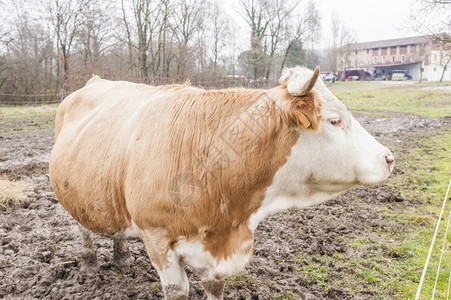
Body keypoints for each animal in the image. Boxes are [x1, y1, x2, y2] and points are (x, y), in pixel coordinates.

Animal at [50, 67, 396, 298]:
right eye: (335, 120)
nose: (389, 158)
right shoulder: (157, 237)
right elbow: (177, 289)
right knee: (82, 227)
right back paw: (91, 263)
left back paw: (121, 259)